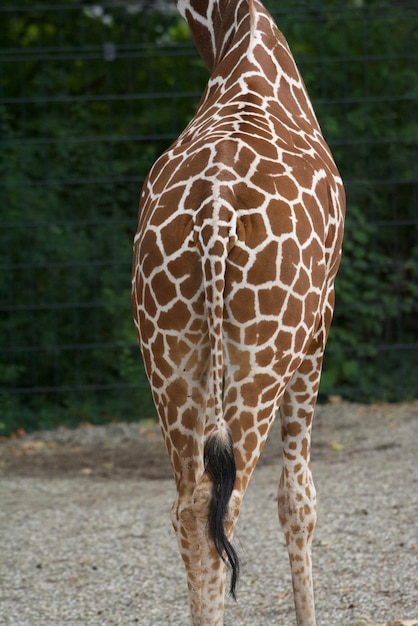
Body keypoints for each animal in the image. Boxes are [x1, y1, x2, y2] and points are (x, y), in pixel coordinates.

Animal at [132, 1, 344, 624]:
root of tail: (215, 217)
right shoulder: (320, 318)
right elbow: (298, 497)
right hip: (266, 346)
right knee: (222, 506)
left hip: (165, 345)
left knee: (188, 508)